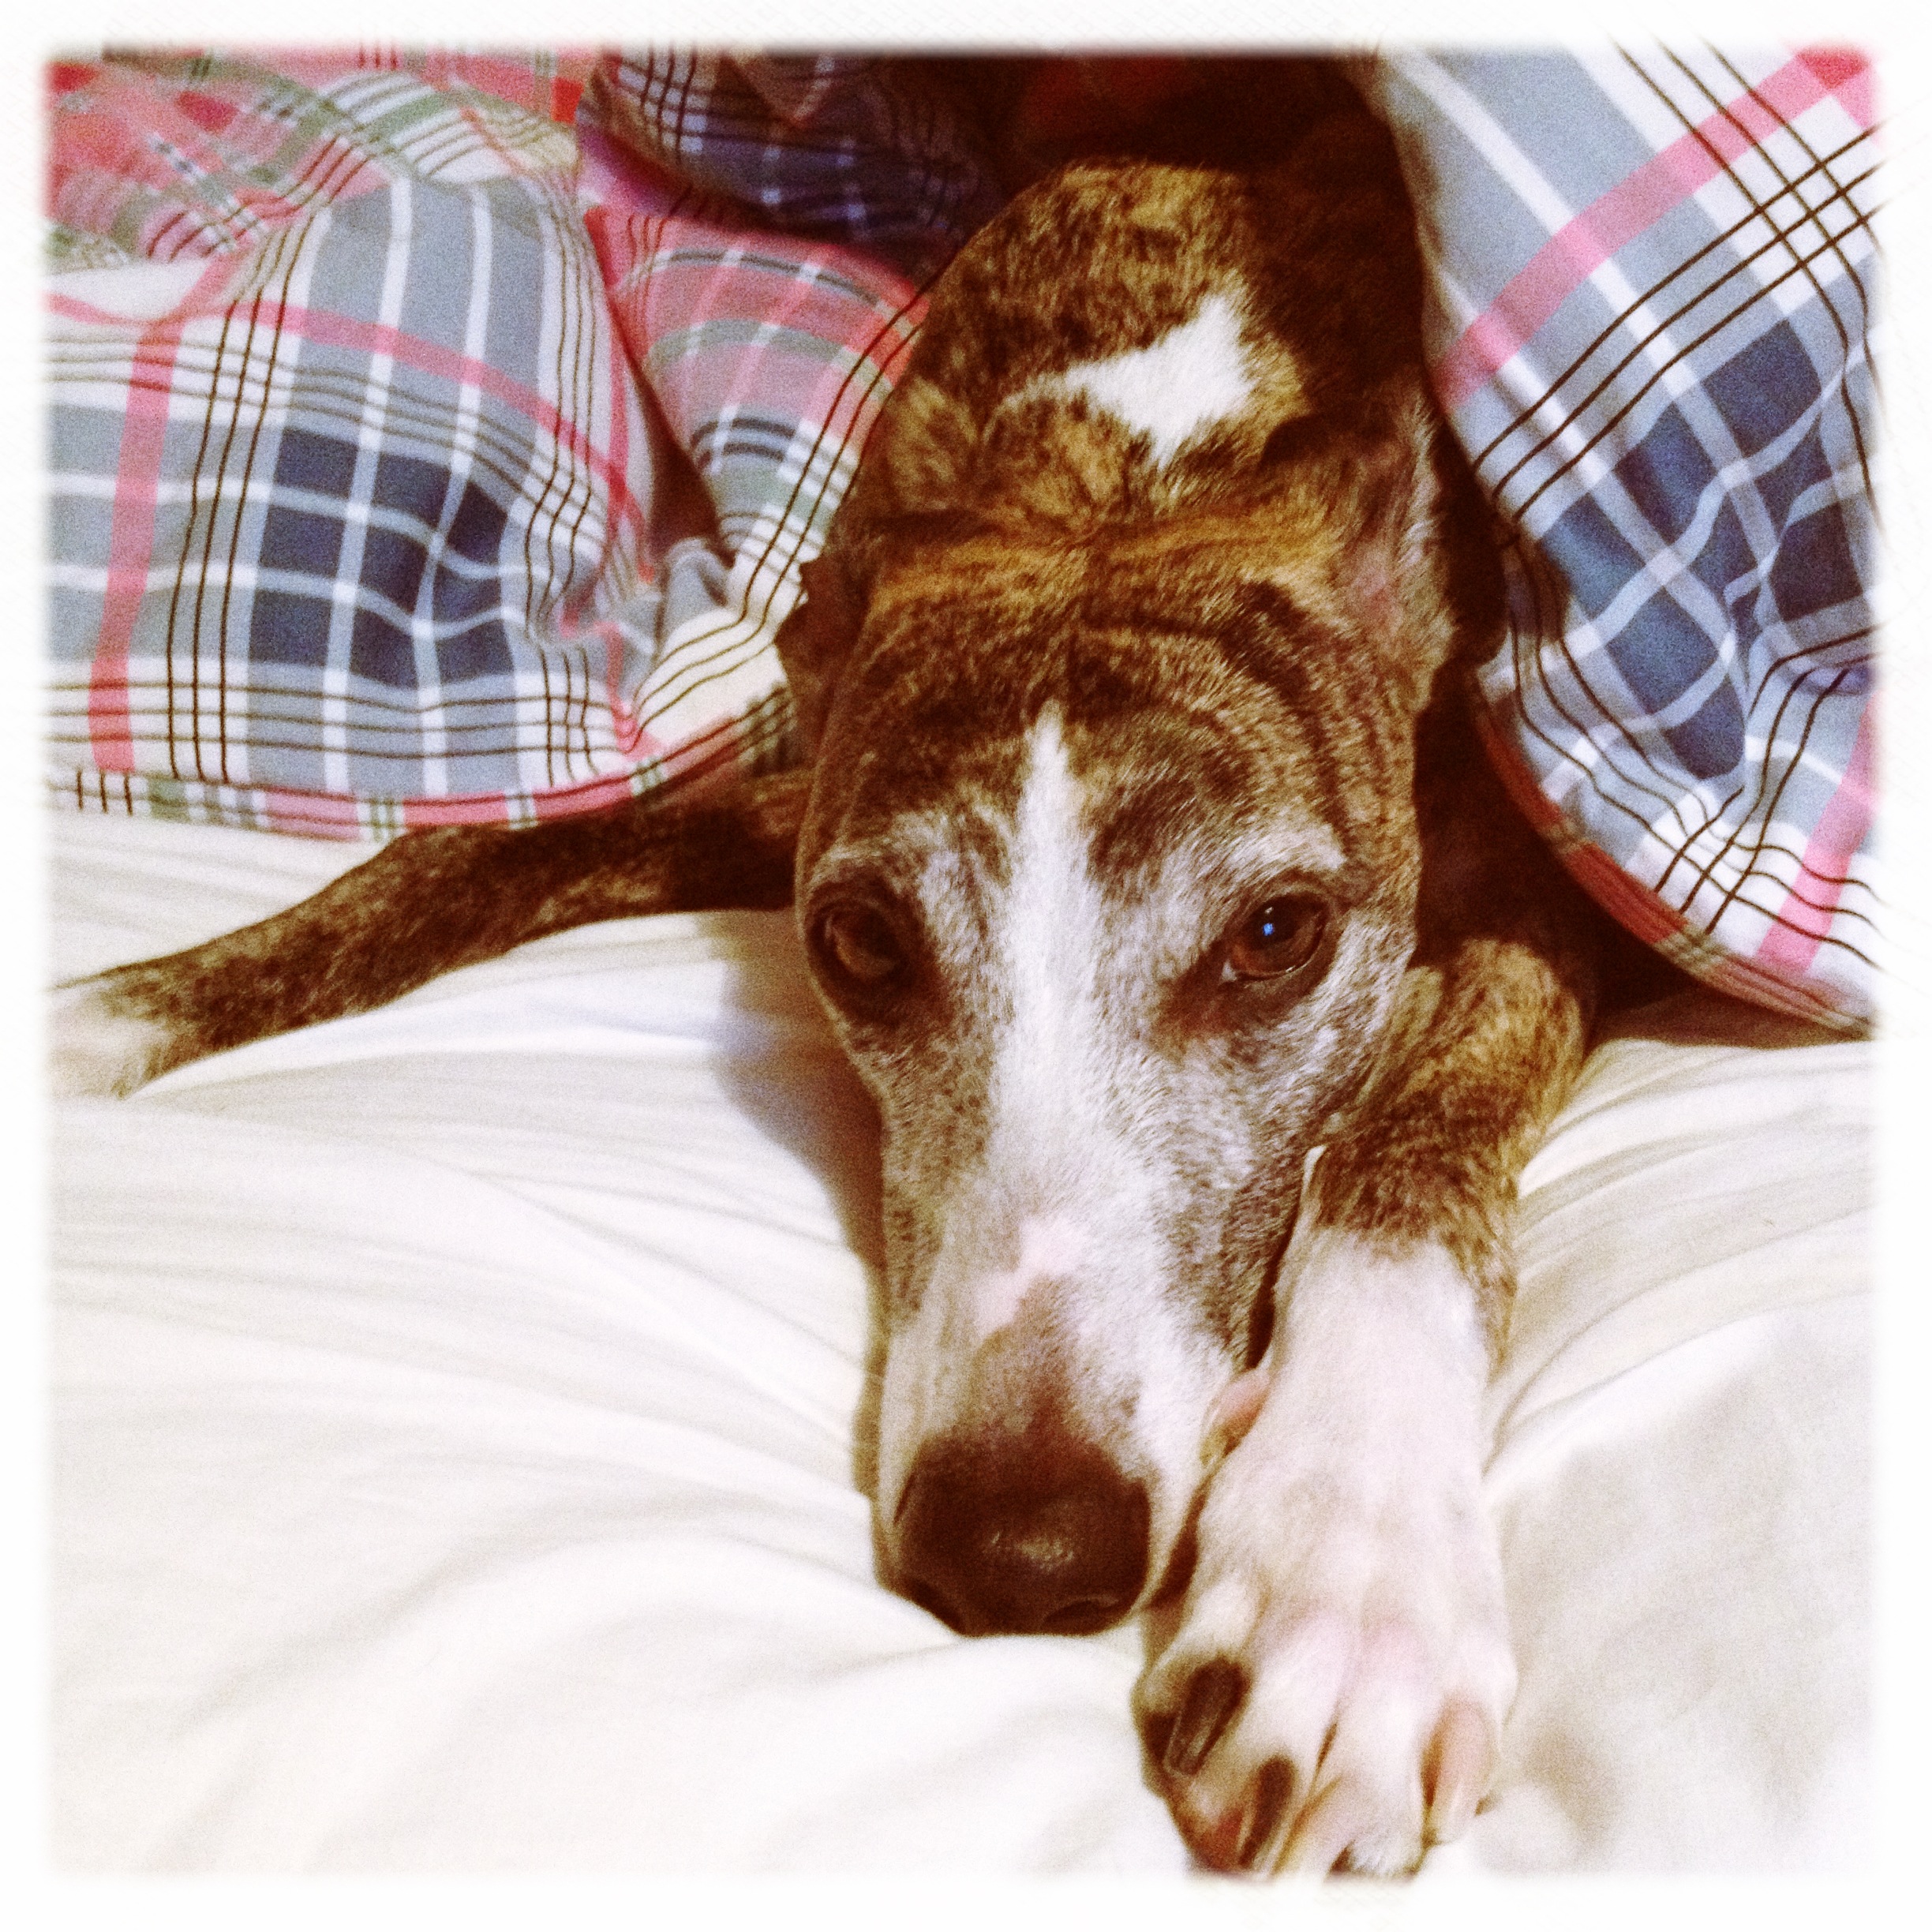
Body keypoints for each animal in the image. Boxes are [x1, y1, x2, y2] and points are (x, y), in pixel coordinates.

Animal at [52, 65, 1684, 1875]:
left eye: (1275, 938)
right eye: (862, 945)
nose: (1021, 1551)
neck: (1132, 467)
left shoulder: (1537, 901)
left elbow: (1407, 1156)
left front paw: (1347, 1572)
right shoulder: (790, 796)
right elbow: (456, 856)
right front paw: (110, 1013)